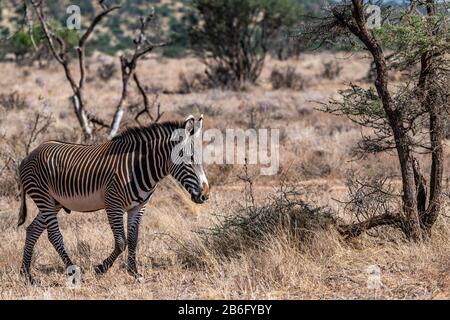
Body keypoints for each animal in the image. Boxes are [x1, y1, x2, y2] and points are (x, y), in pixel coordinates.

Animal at [16, 114, 209, 282]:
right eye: (188, 159)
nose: (205, 195)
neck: (137, 167)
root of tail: (29, 154)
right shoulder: (113, 205)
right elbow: (122, 242)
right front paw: (101, 268)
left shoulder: (138, 207)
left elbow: (133, 239)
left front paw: (134, 272)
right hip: (44, 197)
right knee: (54, 235)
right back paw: (72, 271)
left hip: (54, 202)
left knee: (32, 230)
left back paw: (26, 274)